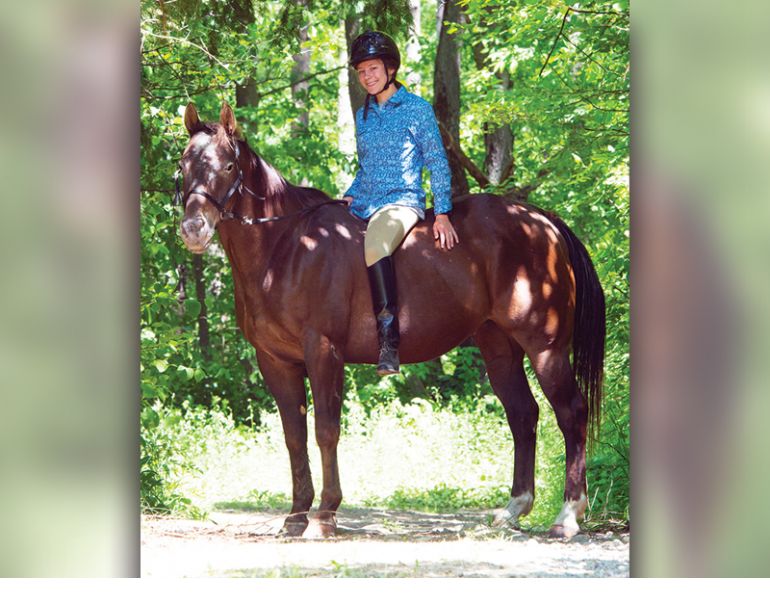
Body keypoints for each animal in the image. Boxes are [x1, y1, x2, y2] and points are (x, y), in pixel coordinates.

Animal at [176, 102, 606, 539]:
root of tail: (543, 220)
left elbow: (326, 431)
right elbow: (294, 437)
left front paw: (325, 515)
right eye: (183, 164)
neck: (286, 247)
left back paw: (568, 515)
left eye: (229, 165)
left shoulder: (323, 352)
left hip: (546, 348)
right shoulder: (276, 361)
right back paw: (514, 508)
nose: (193, 230)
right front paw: (296, 515)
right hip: (499, 348)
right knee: (523, 414)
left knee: (571, 412)